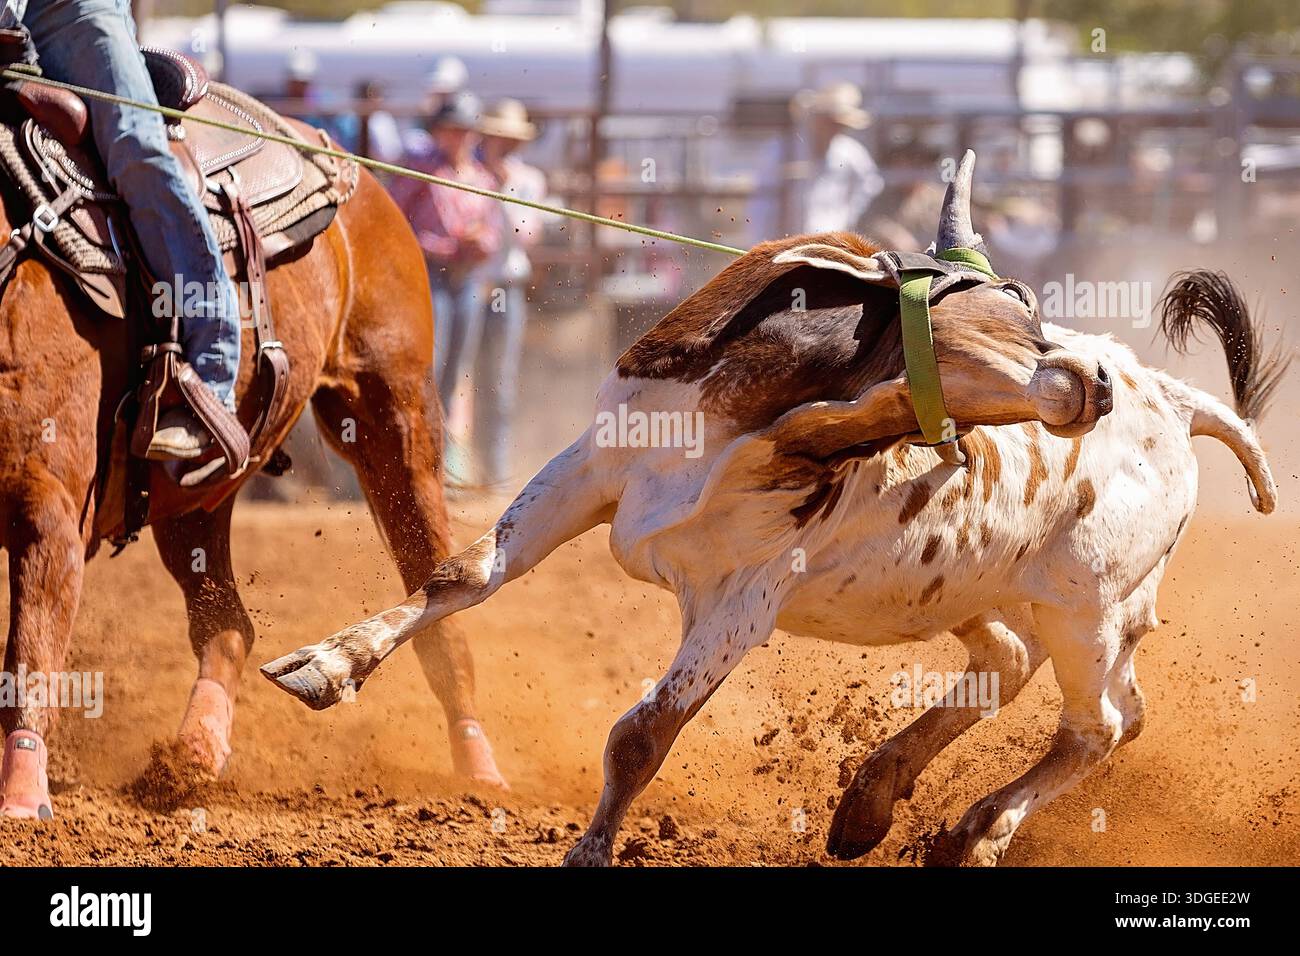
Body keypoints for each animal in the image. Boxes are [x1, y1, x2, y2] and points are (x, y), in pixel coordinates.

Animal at [260, 152, 1283, 866]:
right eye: (1005, 322)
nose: (1090, 383)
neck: (749, 417)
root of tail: (1176, 399)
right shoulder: (588, 470)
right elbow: (461, 576)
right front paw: (326, 664)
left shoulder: (745, 598)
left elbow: (642, 734)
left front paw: (591, 846)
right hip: (983, 588)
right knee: (1013, 663)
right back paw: (872, 799)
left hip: (1090, 608)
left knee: (1098, 725)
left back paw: (973, 830)